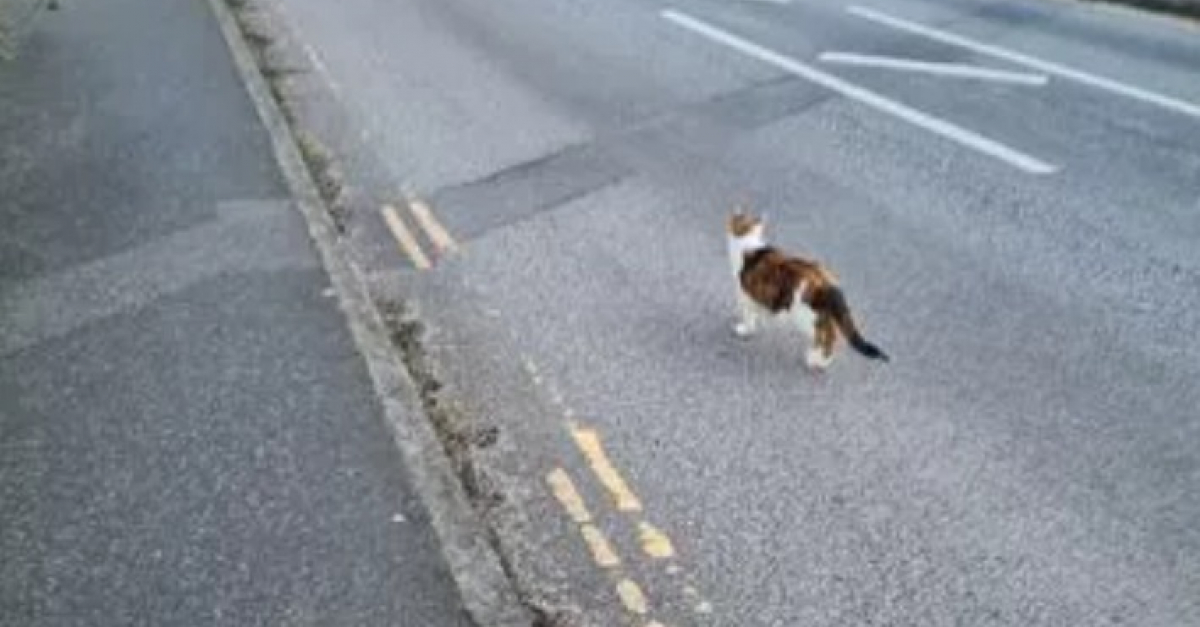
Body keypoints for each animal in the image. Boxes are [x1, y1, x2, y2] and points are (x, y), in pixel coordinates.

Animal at [724, 210, 888, 367]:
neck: (748, 242)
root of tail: (826, 282)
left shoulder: (745, 296)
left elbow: (748, 316)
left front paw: (745, 329)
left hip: (804, 315)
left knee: (827, 337)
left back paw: (816, 361)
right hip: (821, 314)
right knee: (832, 333)